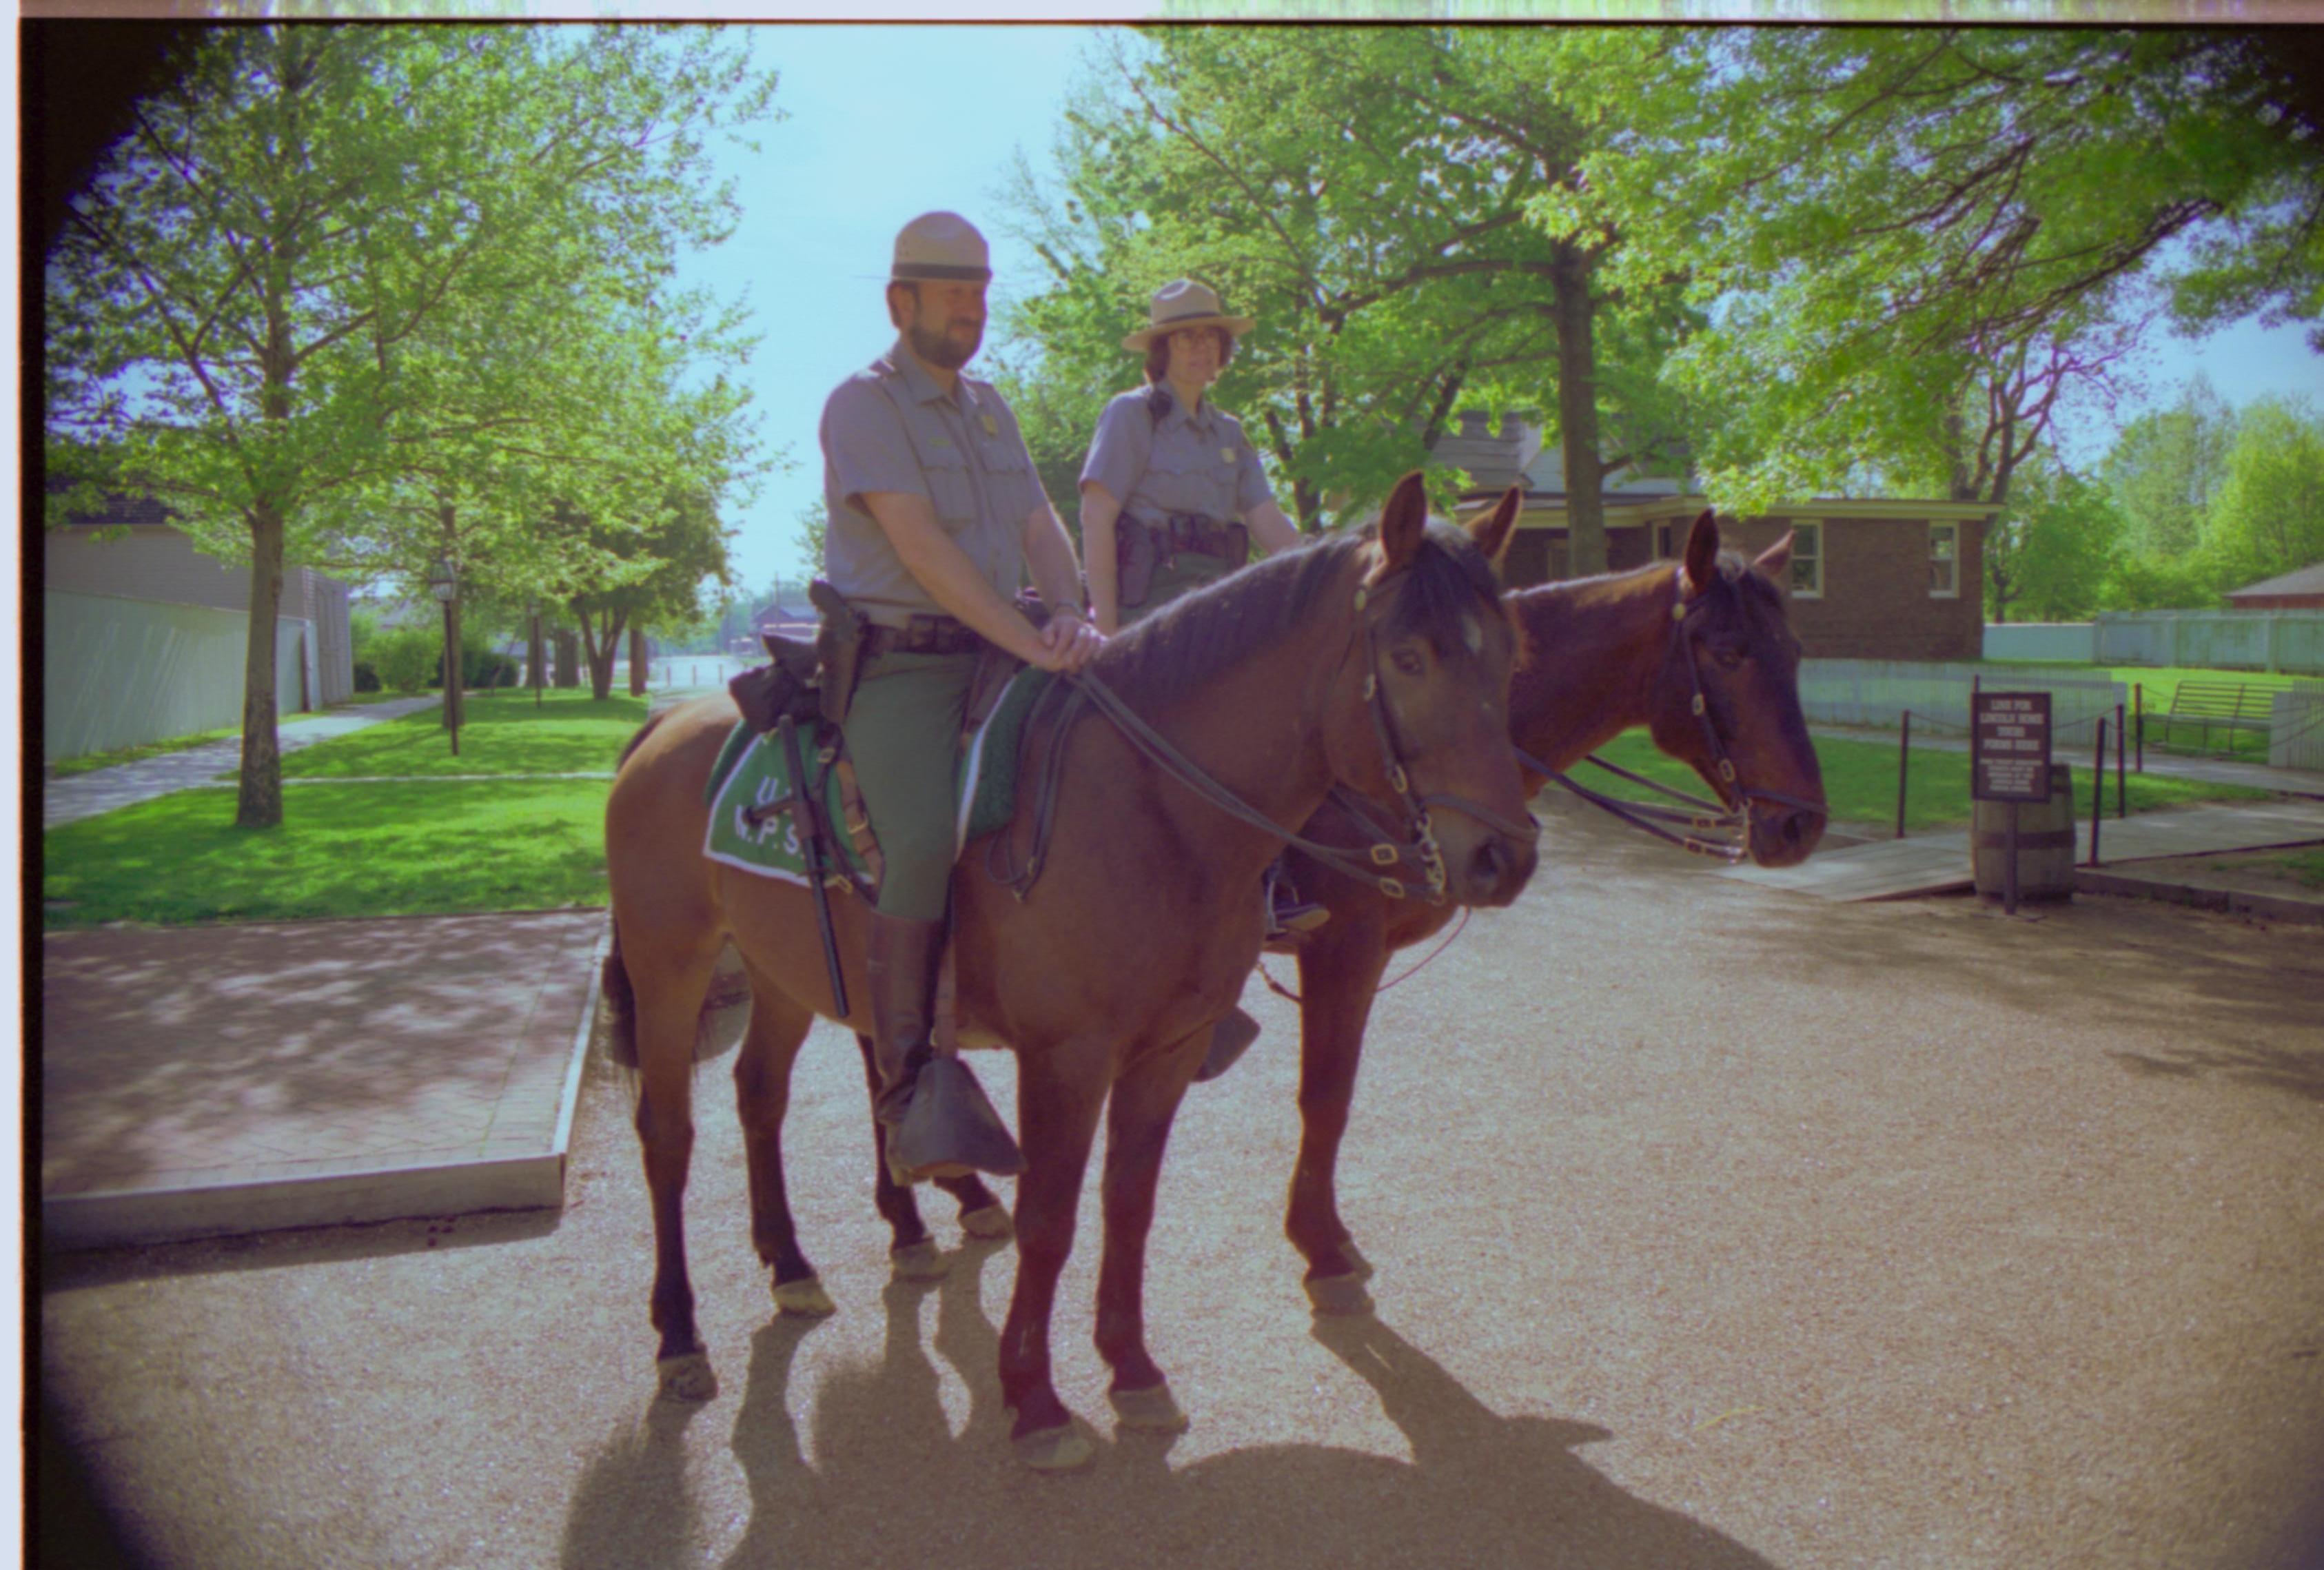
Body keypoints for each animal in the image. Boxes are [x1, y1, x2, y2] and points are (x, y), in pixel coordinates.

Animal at [609, 471, 1533, 1467]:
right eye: (1408, 657)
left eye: (1508, 658)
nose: (1505, 856)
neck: (1148, 802)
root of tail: (665, 722)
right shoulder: (1067, 1056)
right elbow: (1050, 1218)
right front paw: (1035, 1397)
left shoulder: (1169, 1048)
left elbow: (1129, 1202)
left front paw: (1131, 1367)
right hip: (670, 967)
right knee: (668, 1132)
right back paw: (679, 1336)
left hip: (783, 974)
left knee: (758, 1095)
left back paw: (790, 1264)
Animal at [1283, 511, 1822, 1309]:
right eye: (1728, 652)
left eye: (1793, 651)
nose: (1802, 825)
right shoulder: (1338, 946)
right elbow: (1324, 1096)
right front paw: (1319, 1245)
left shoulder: (1361, 957)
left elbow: (1337, 1094)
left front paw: (1327, 1231)